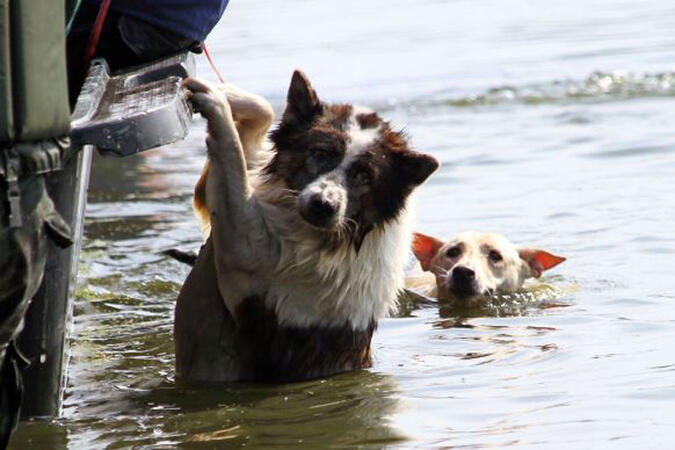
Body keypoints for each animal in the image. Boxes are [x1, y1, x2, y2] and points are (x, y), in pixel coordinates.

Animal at [174, 70, 438, 384]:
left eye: (364, 177)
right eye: (320, 154)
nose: (324, 205)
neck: (346, 236)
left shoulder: (241, 250)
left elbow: (232, 157)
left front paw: (217, 104)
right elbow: (263, 115)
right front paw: (229, 94)